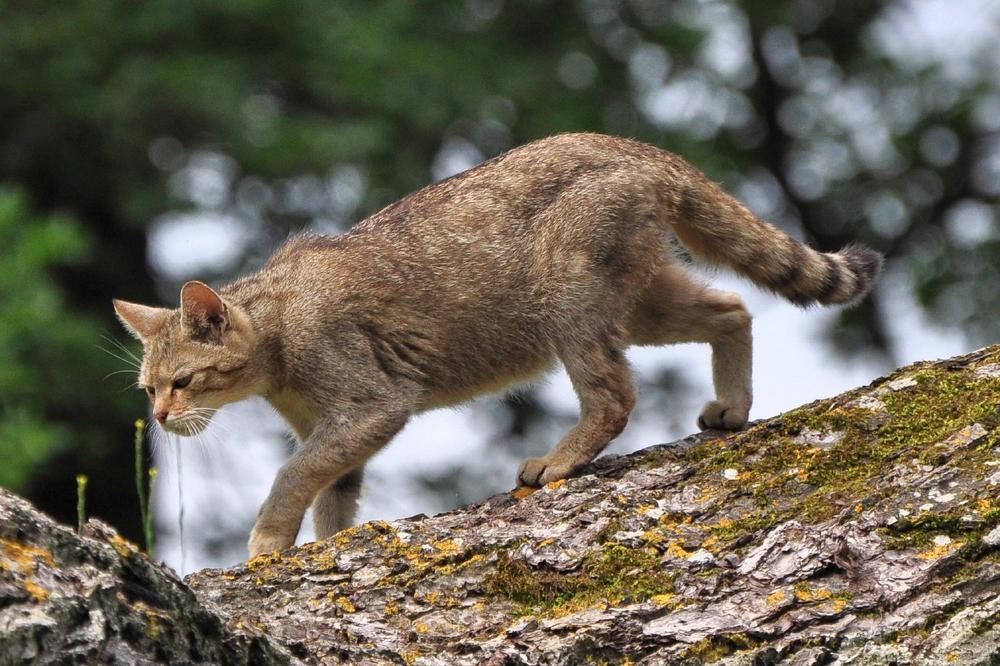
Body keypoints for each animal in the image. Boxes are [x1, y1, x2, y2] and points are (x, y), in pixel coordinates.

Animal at [113, 133, 883, 558]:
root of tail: (637, 148)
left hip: (570, 300)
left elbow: (291, 476)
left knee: (614, 396)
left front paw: (268, 544)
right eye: (148, 389)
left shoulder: (370, 406)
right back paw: (732, 406)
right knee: (732, 309)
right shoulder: (335, 429)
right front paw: (323, 548)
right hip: (637, 303)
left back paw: (560, 461)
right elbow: (332, 492)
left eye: (181, 382)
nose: (159, 418)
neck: (277, 342)